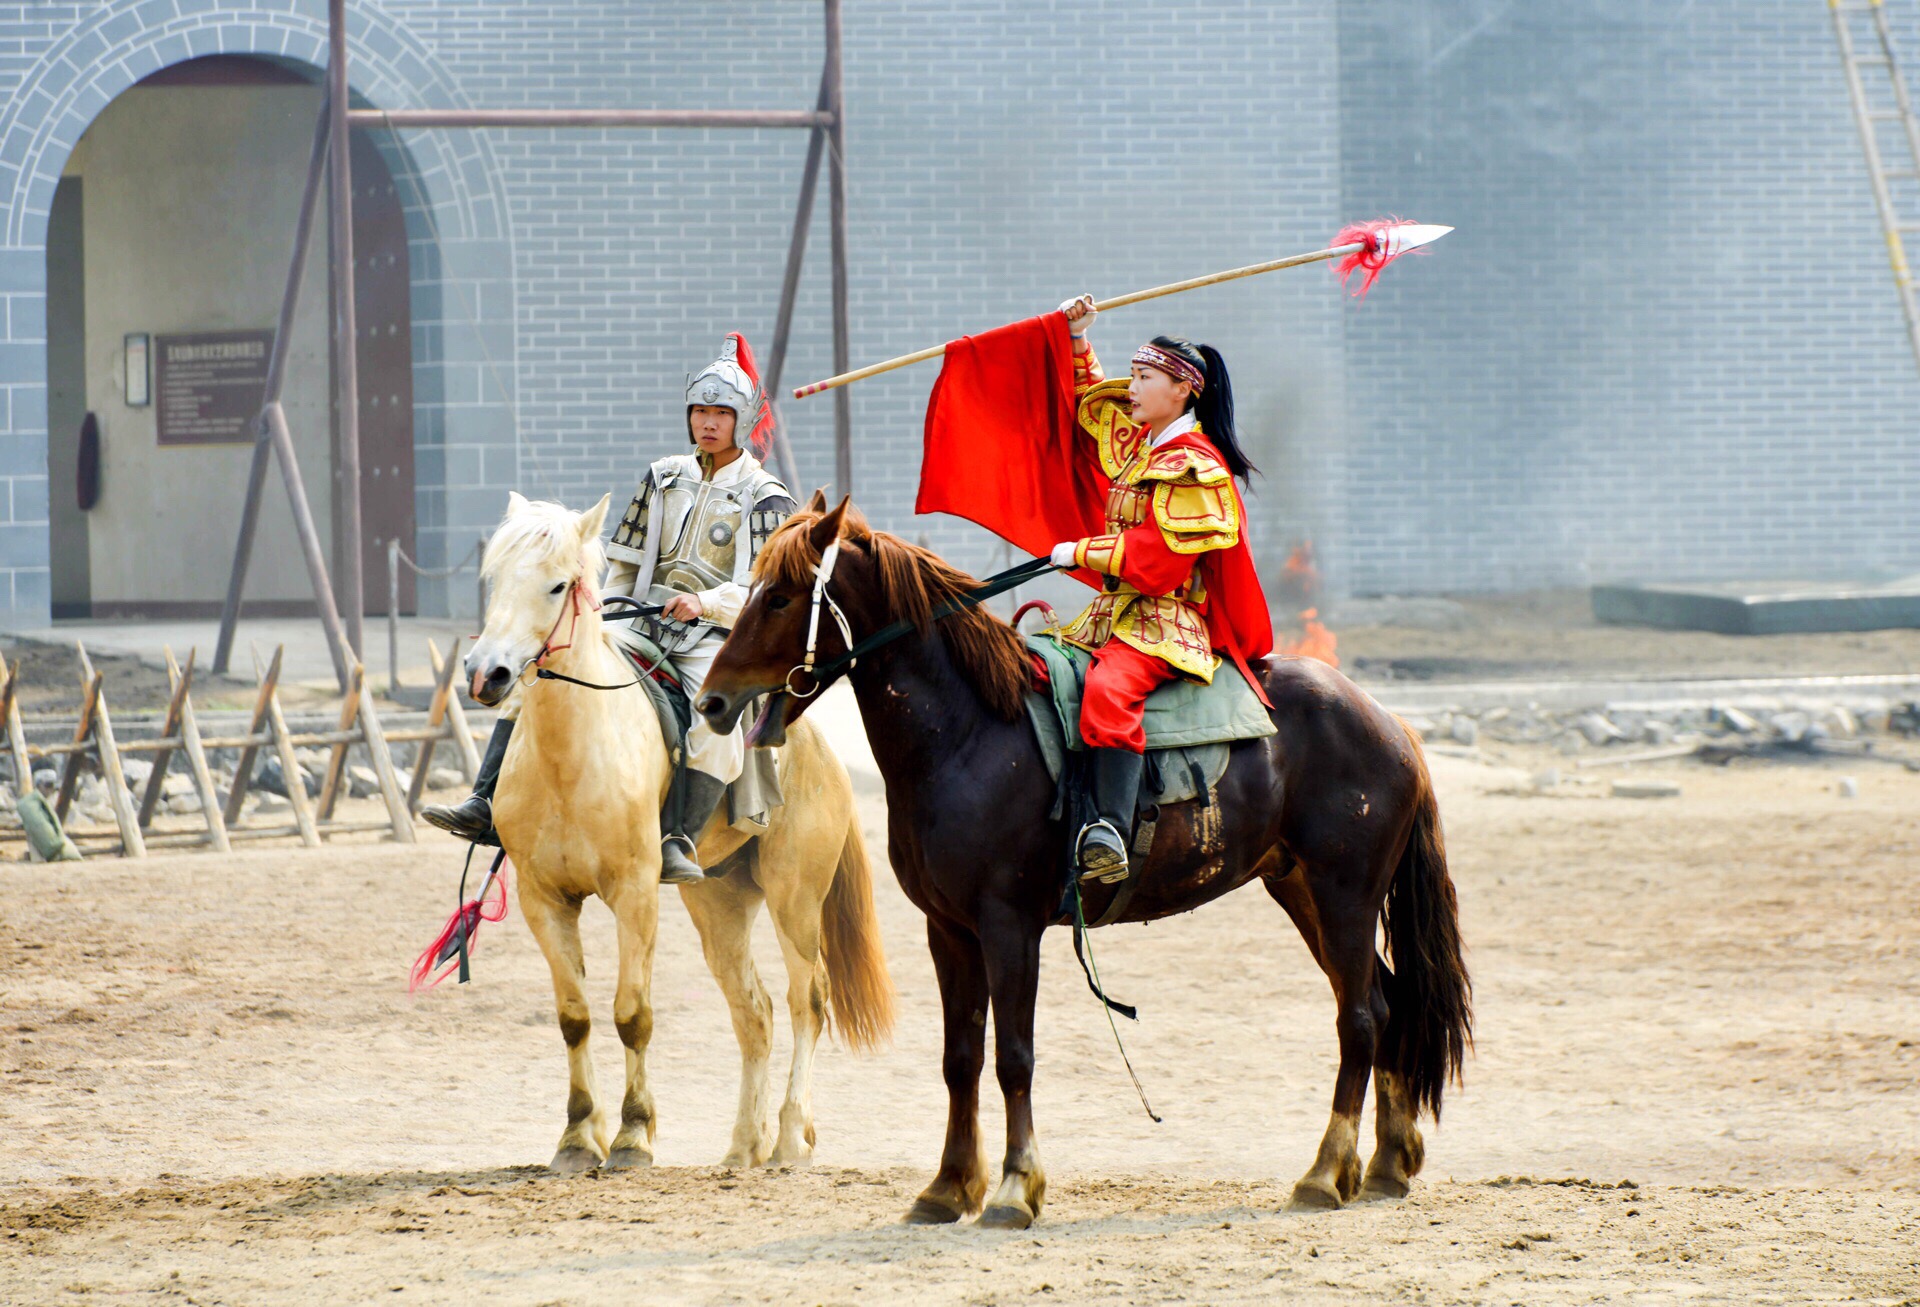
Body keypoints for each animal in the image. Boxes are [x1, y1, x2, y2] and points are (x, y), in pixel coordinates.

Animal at [464, 495, 890, 1166]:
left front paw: (633, 1135)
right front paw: (578, 1136)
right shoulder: (543, 898)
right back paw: (744, 1146)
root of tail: (819, 745)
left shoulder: (635, 893)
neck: (572, 757)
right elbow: (574, 1016)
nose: (489, 675)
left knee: (808, 1000)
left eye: (557, 584)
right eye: (495, 579)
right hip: (718, 901)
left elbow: (632, 1014)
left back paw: (792, 1136)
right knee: (754, 1011)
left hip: (795, 898)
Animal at [702, 495, 1466, 1228]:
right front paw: (948, 1187)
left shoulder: (1009, 926)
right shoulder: (948, 930)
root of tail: (1391, 724)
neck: (969, 733)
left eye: (780, 597)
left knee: (1359, 1018)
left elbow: (1013, 1057)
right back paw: (1386, 1165)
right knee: (1387, 1005)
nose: (713, 700)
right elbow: (960, 1059)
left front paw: (1015, 1188)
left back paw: (1324, 1172)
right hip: (1303, 891)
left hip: (1344, 895)